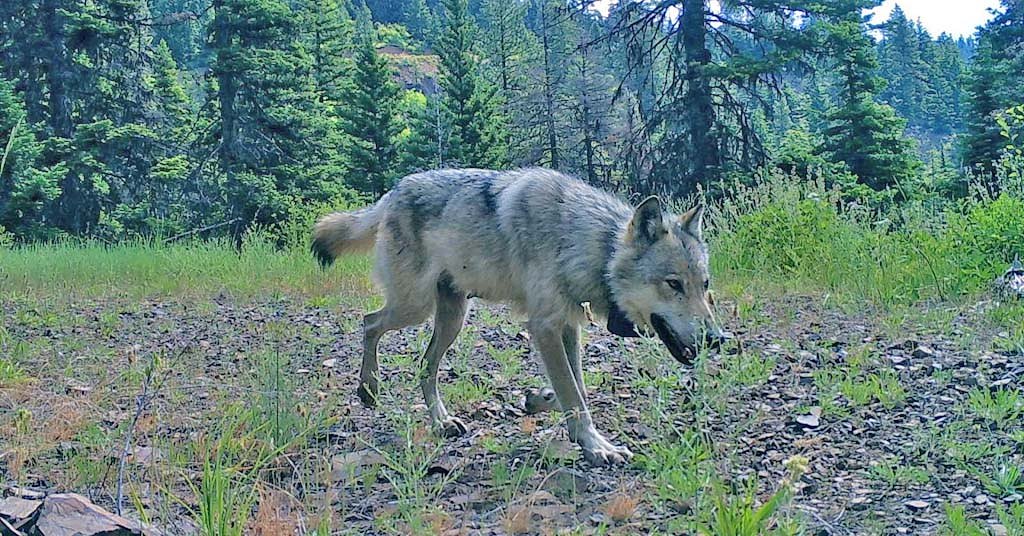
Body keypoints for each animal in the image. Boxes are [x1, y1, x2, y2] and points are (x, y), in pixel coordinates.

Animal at [312, 168, 727, 465]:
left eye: (705, 284)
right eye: (673, 284)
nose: (718, 339)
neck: (583, 243)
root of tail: (395, 190)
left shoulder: (567, 327)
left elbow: (575, 390)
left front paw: (540, 401)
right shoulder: (544, 327)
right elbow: (573, 394)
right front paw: (596, 446)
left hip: (452, 317)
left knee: (423, 365)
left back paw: (441, 422)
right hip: (414, 307)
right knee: (369, 323)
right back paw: (368, 388)